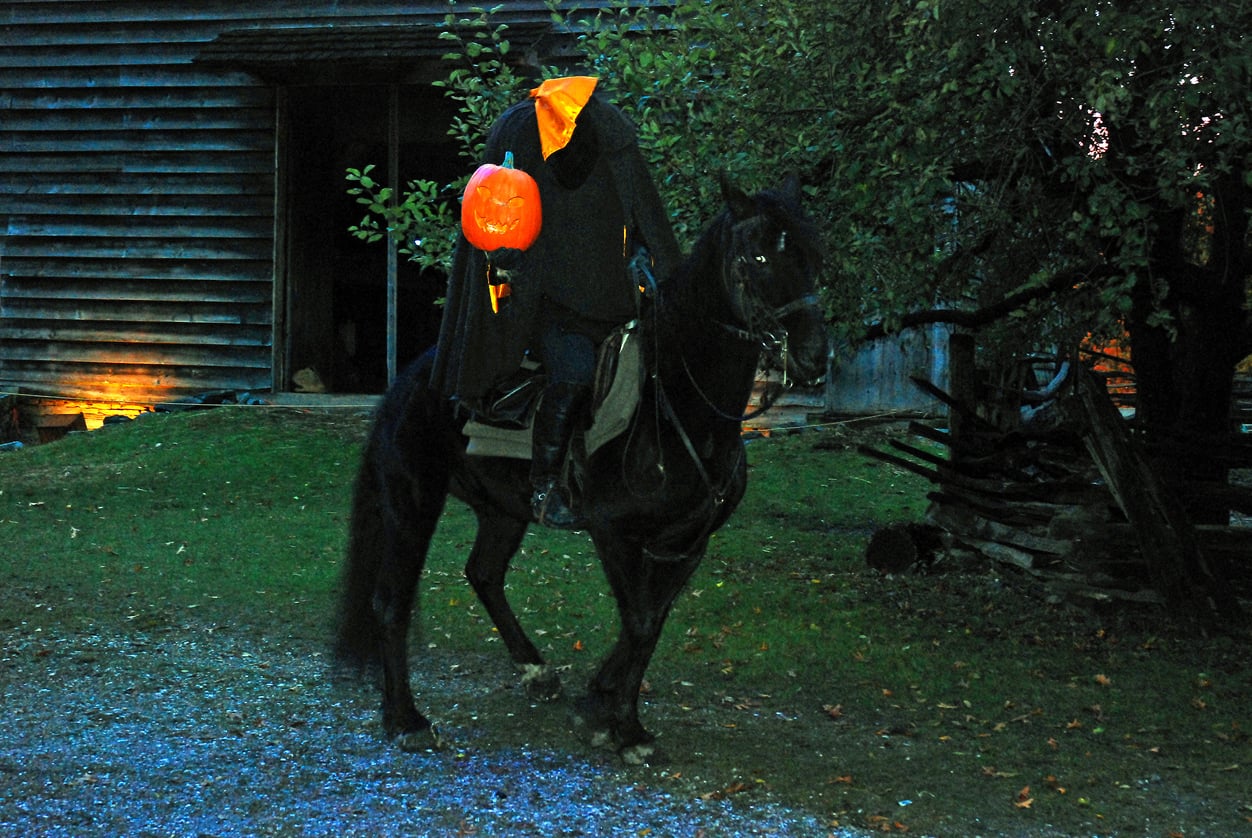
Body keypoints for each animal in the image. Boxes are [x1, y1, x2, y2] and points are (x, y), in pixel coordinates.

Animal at [334, 175, 827, 764]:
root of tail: (408, 381)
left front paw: (599, 701)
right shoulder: (614, 534)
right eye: (756, 257)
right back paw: (406, 720)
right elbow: (639, 620)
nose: (815, 357)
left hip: (503, 511)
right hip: (413, 505)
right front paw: (626, 729)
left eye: (813, 258)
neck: (676, 406)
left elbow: (650, 623)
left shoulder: (686, 545)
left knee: (484, 574)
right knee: (391, 602)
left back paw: (536, 671)